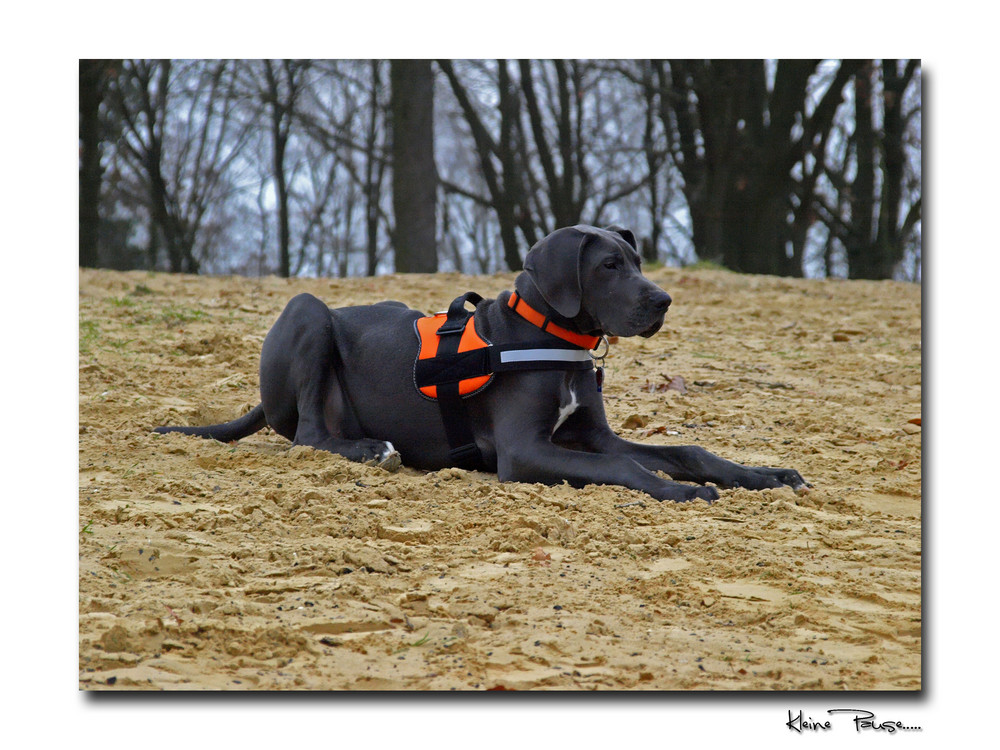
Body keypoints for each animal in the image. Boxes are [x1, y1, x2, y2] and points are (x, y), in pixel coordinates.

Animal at [158, 225, 812, 506]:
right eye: (608, 267)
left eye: (636, 260)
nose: (663, 302)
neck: (552, 336)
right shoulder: (524, 451)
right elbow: (624, 468)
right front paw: (680, 491)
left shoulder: (591, 434)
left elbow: (685, 450)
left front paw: (765, 475)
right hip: (309, 313)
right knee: (310, 436)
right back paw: (372, 449)